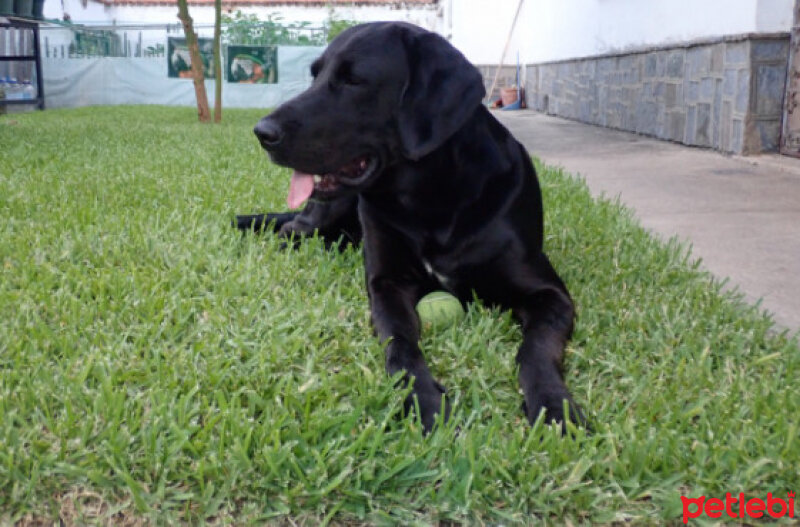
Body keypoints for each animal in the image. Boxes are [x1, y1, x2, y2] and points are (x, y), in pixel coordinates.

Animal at [241, 21, 584, 434]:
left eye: (354, 80)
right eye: (315, 75)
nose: (262, 132)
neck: (433, 199)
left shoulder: (549, 293)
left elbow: (536, 348)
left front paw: (553, 404)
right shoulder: (387, 284)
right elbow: (400, 343)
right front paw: (423, 399)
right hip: (322, 214)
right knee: (291, 229)